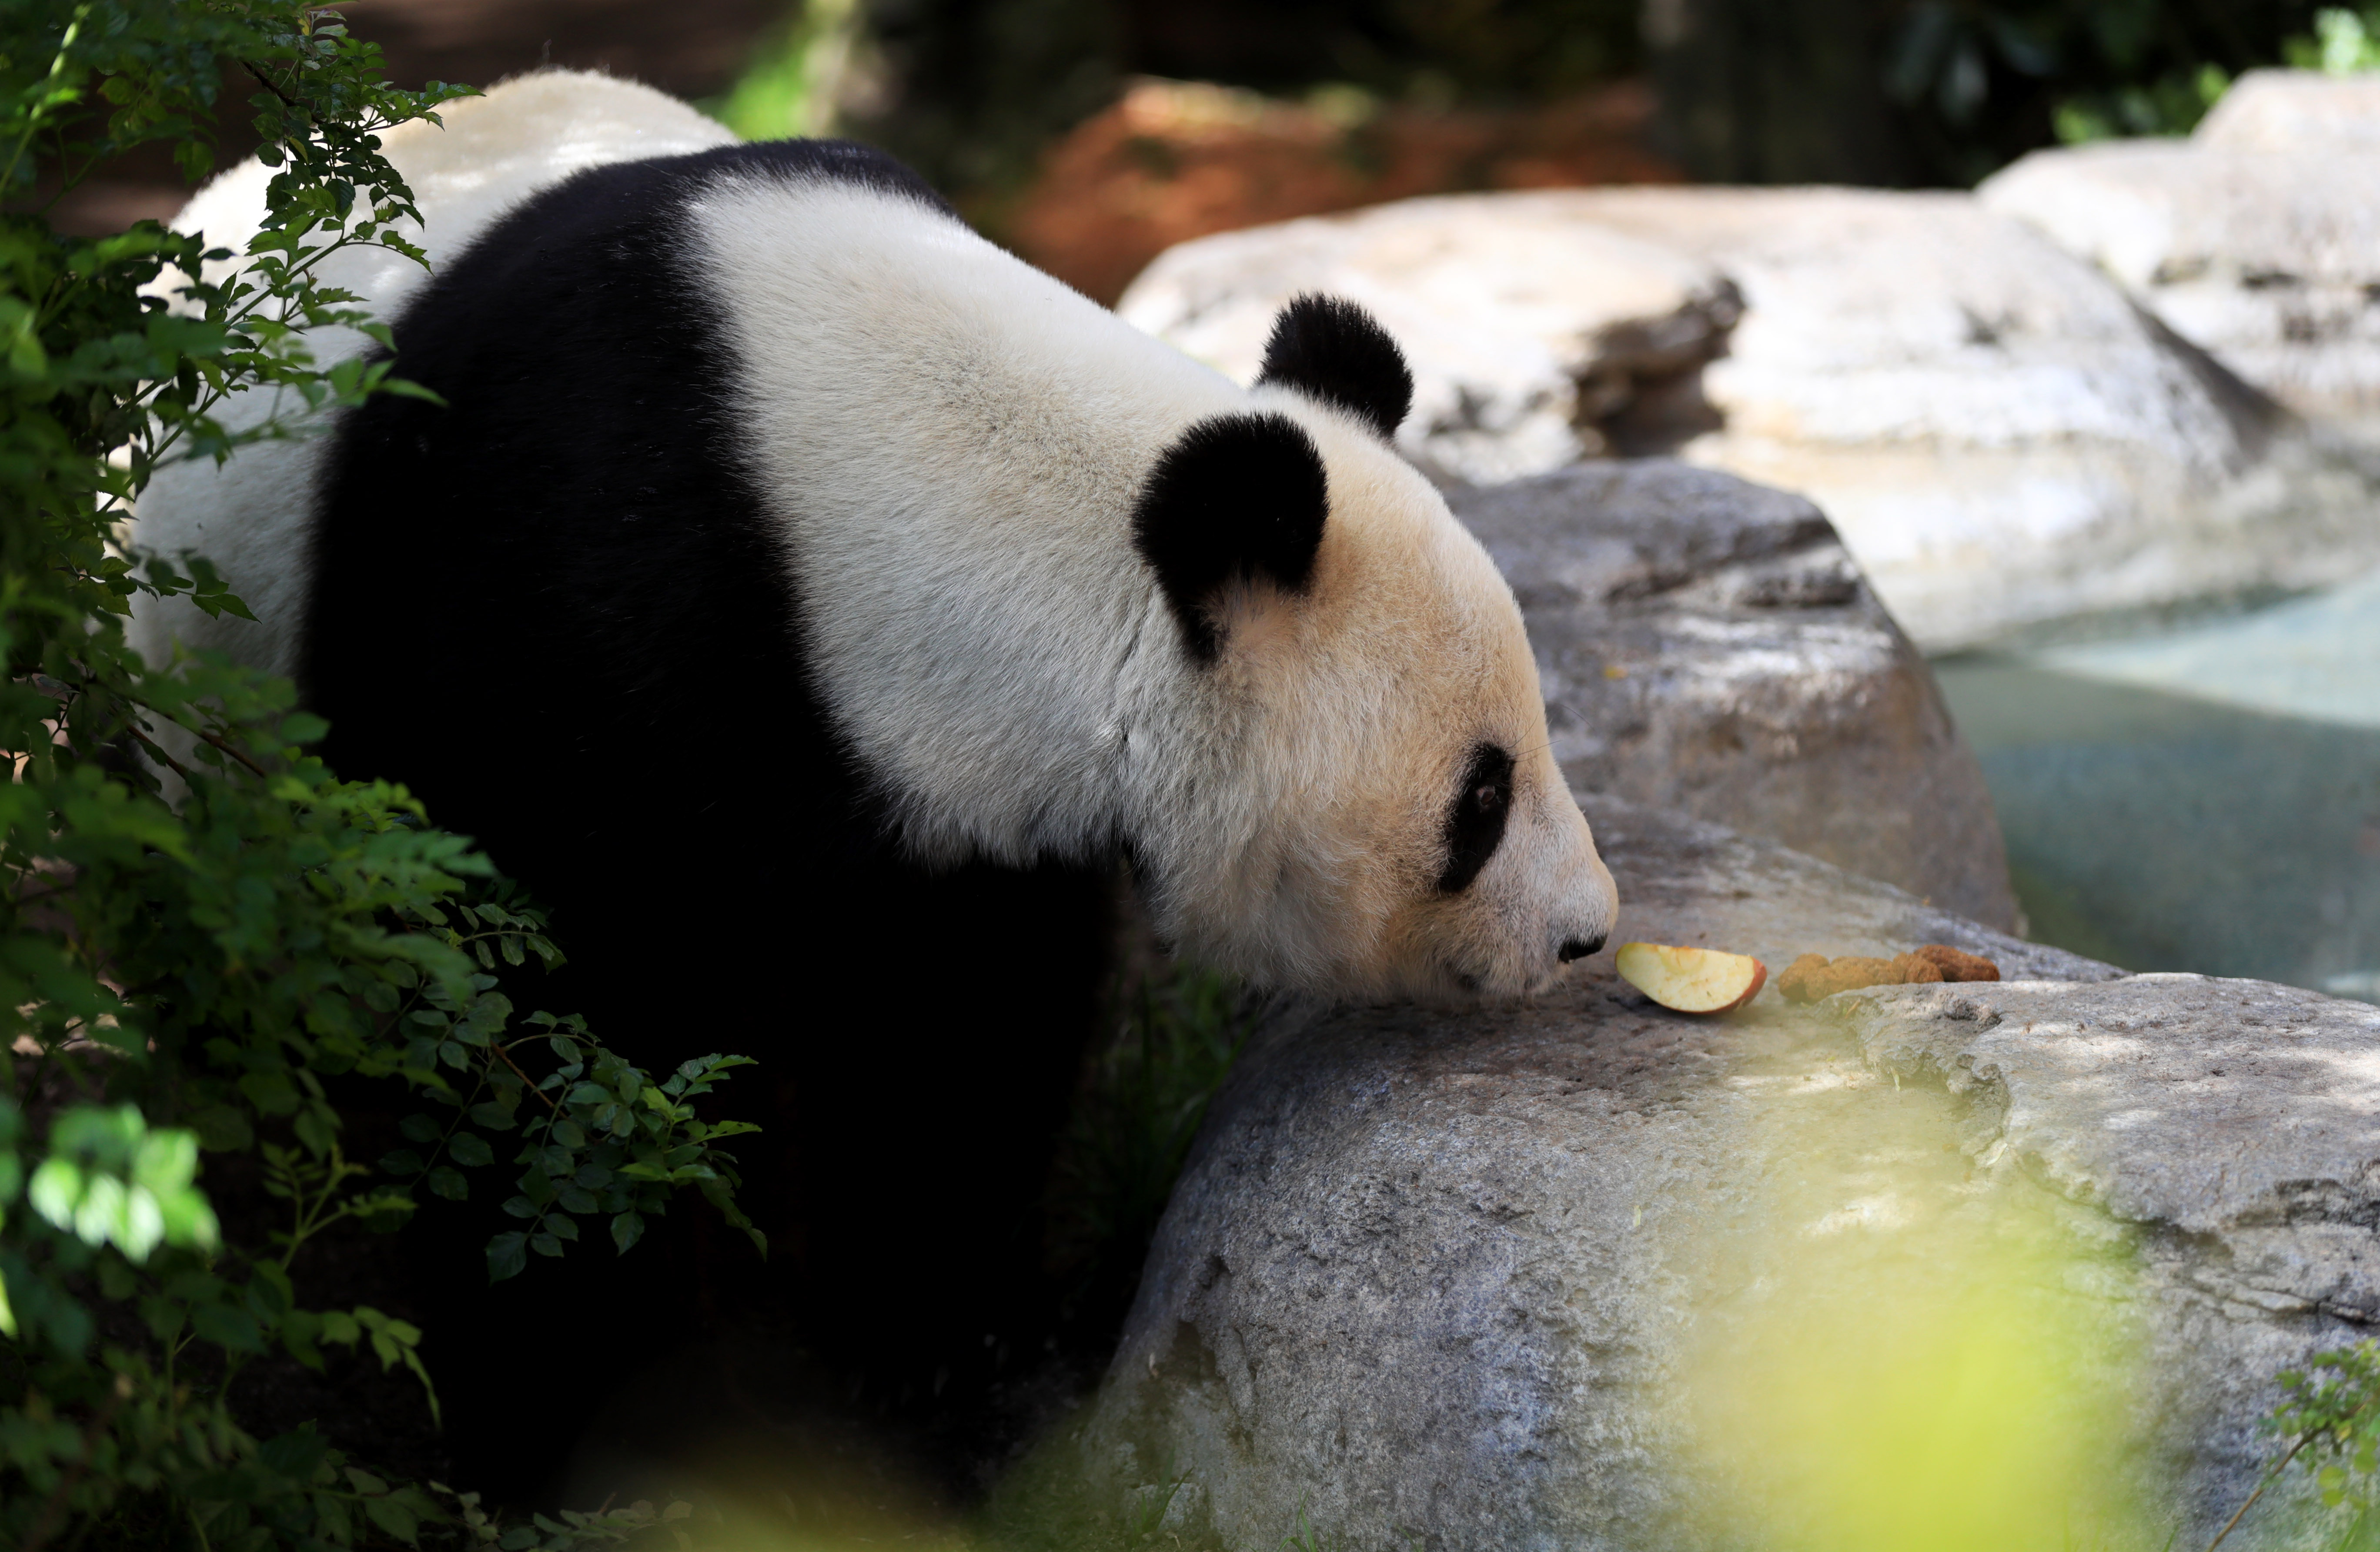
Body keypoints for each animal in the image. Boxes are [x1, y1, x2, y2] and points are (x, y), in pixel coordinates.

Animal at [125, 72, 1618, 1504]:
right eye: (1480, 800)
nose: (1585, 932)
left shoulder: (953, 800)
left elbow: (949, 1037)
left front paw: (942, 1351)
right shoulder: (545, 624)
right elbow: (530, 1058)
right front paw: (587, 1433)